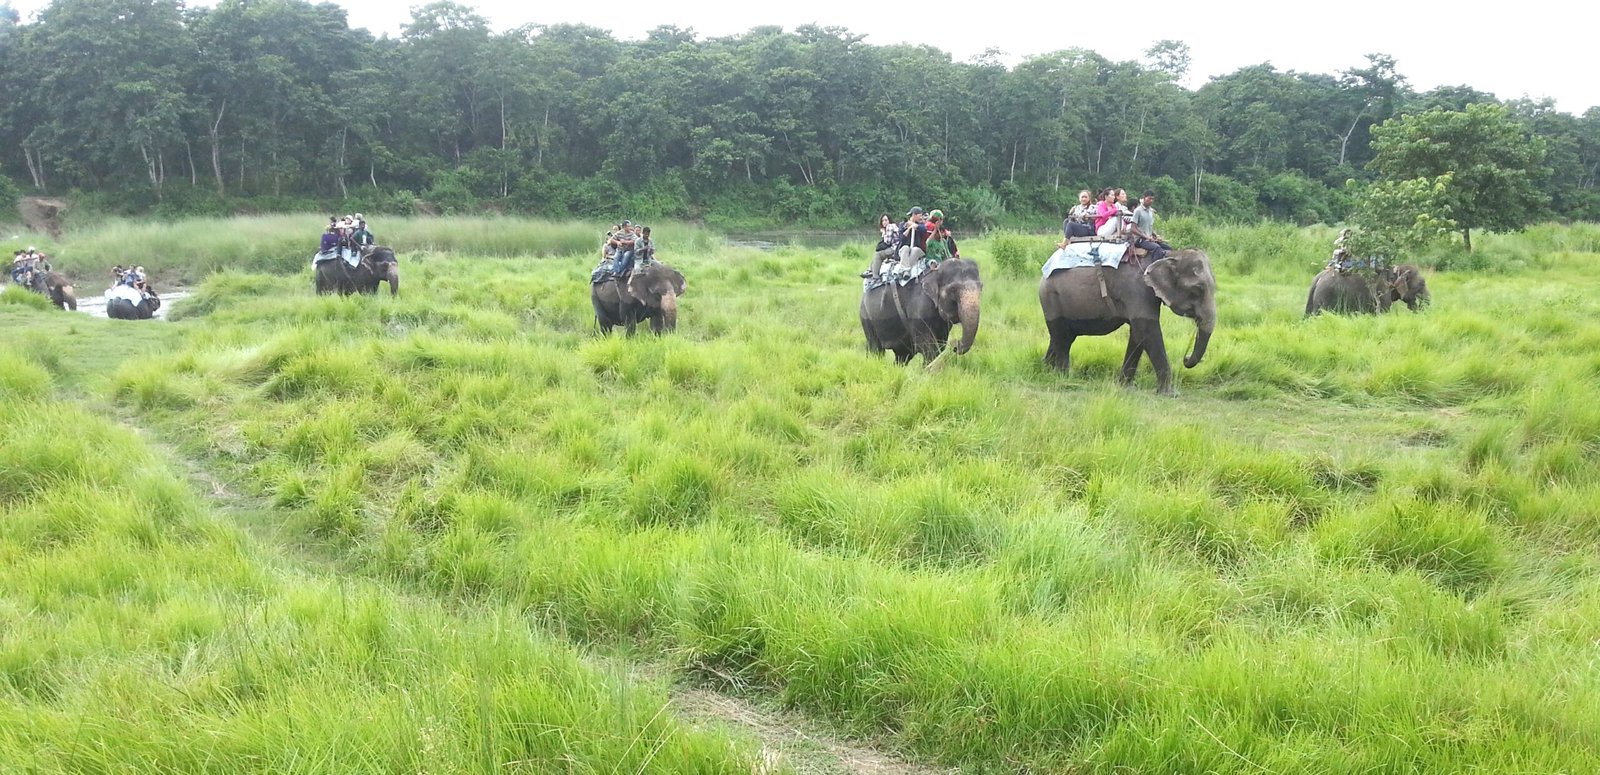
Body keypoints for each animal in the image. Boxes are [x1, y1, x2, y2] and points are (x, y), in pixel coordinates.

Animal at [1036, 246, 1209, 397]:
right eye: (1198, 290)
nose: (1186, 358)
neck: (1167, 255)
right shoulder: (1137, 289)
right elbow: (1147, 329)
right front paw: (1171, 394)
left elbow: (1138, 333)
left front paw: (1126, 387)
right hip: (1051, 298)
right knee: (1062, 339)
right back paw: (1063, 378)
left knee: (1062, 337)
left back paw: (1046, 369)